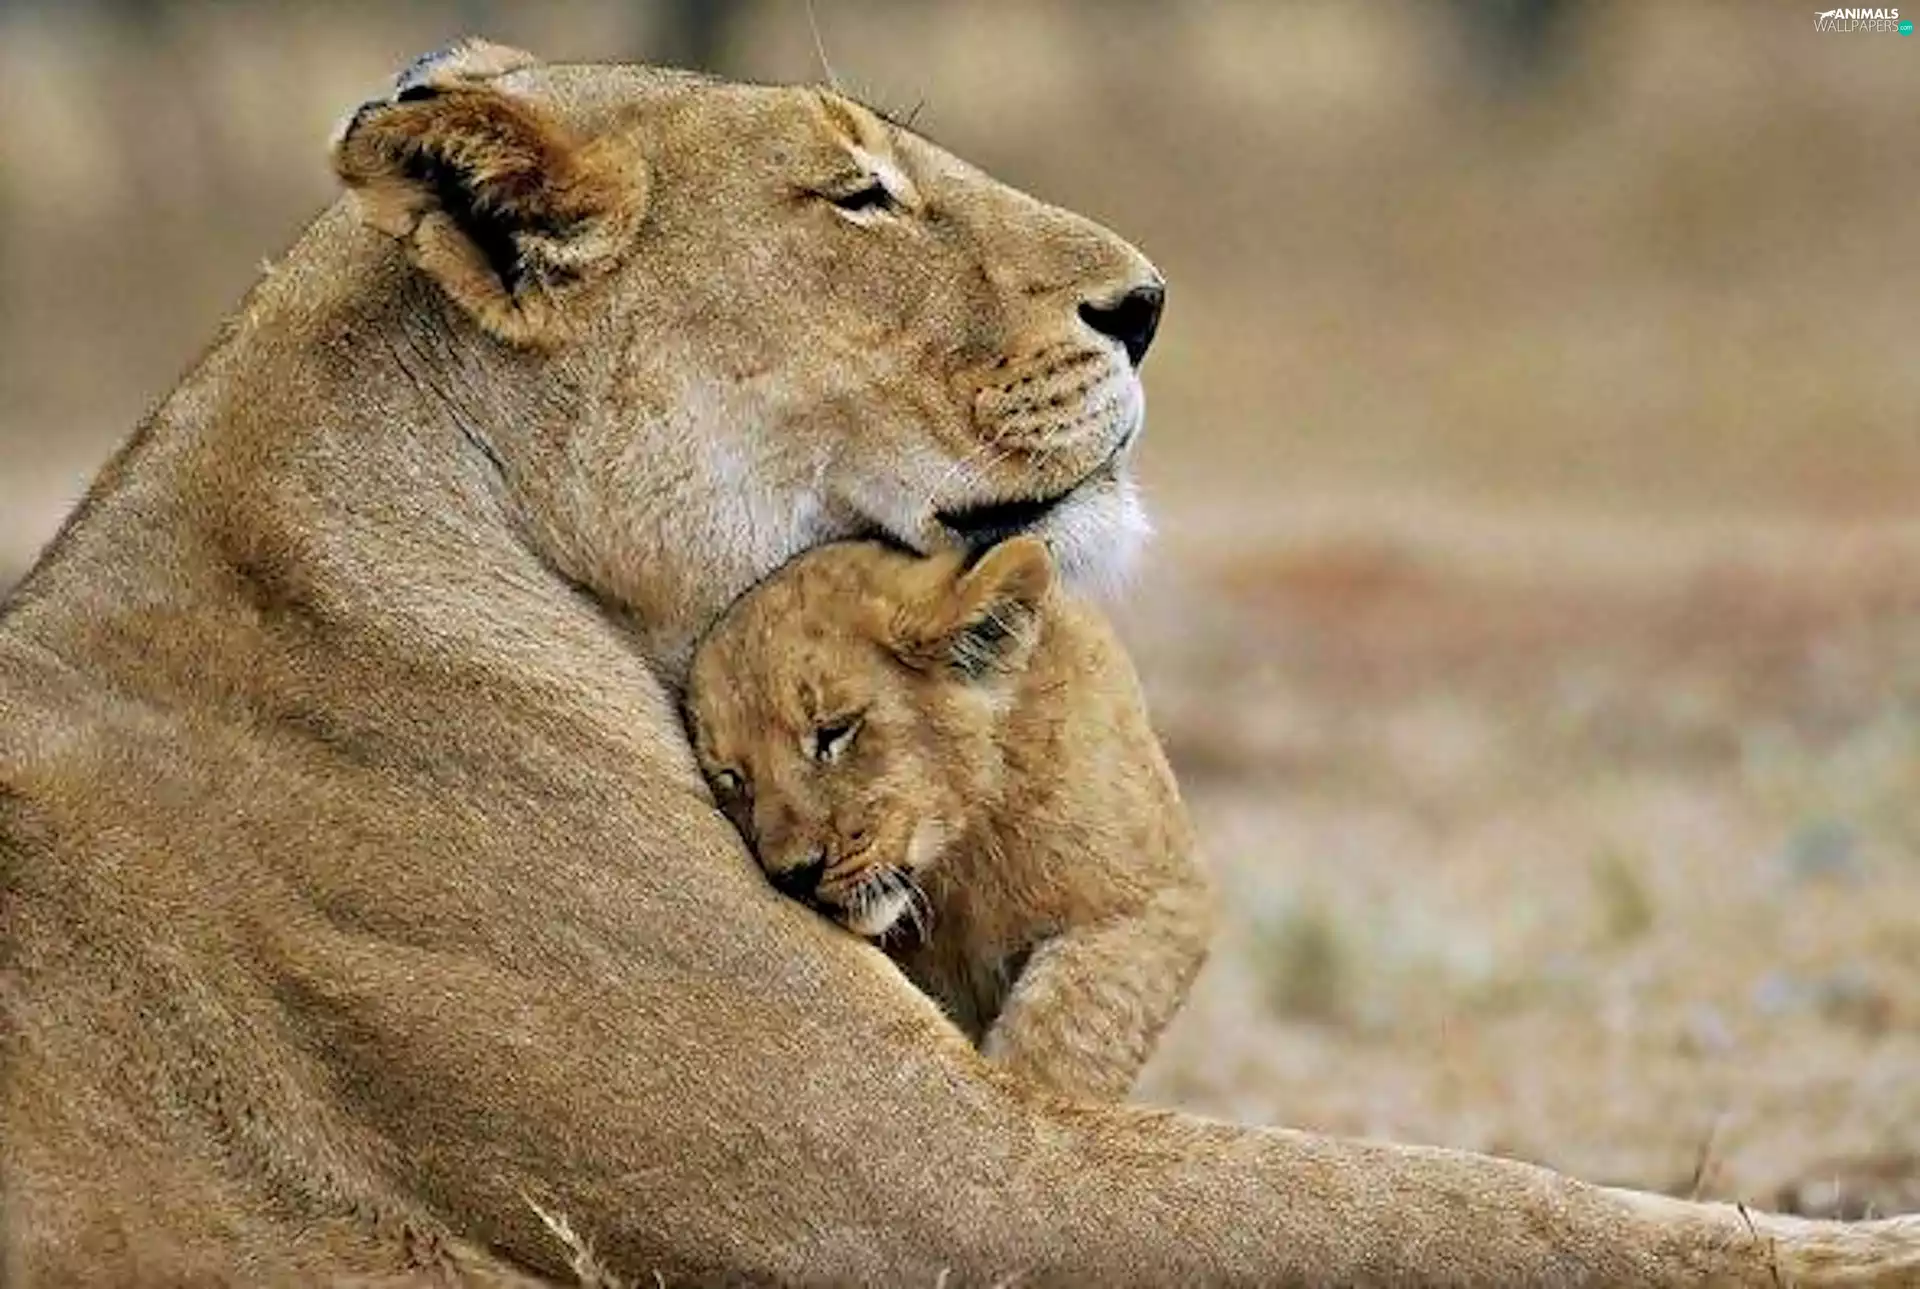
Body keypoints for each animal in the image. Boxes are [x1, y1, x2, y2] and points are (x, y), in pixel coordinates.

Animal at [686, 536, 1212, 1100]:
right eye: (732, 778)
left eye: (834, 731)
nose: (794, 876)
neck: (962, 862)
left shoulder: (1159, 898)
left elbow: (1069, 1030)